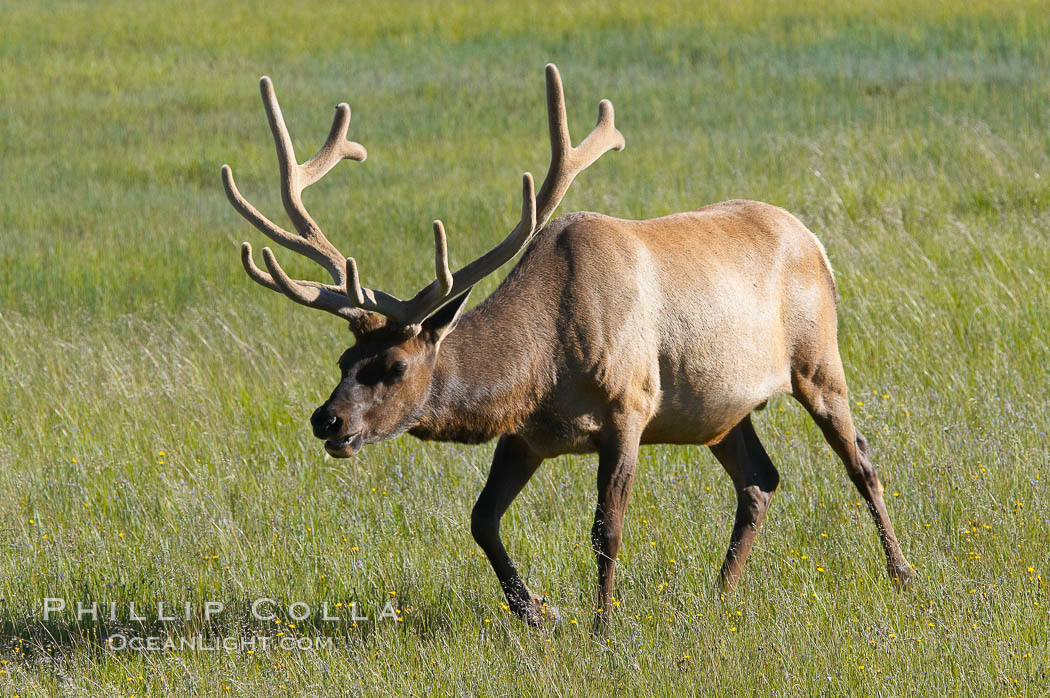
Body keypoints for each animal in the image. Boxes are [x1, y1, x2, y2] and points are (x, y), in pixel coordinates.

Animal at [219, 64, 911, 629]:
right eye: (342, 361)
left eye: (393, 366)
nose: (326, 419)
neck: (542, 368)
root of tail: (813, 239)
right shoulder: (526, 434)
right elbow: (482, 519)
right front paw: (538, 610)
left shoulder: (630, 406)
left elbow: (606, 530)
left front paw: (602, 625)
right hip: (720, 410)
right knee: (761, 480)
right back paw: (720, 595)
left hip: (818, 361)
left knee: (861, 460)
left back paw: (902, 574)